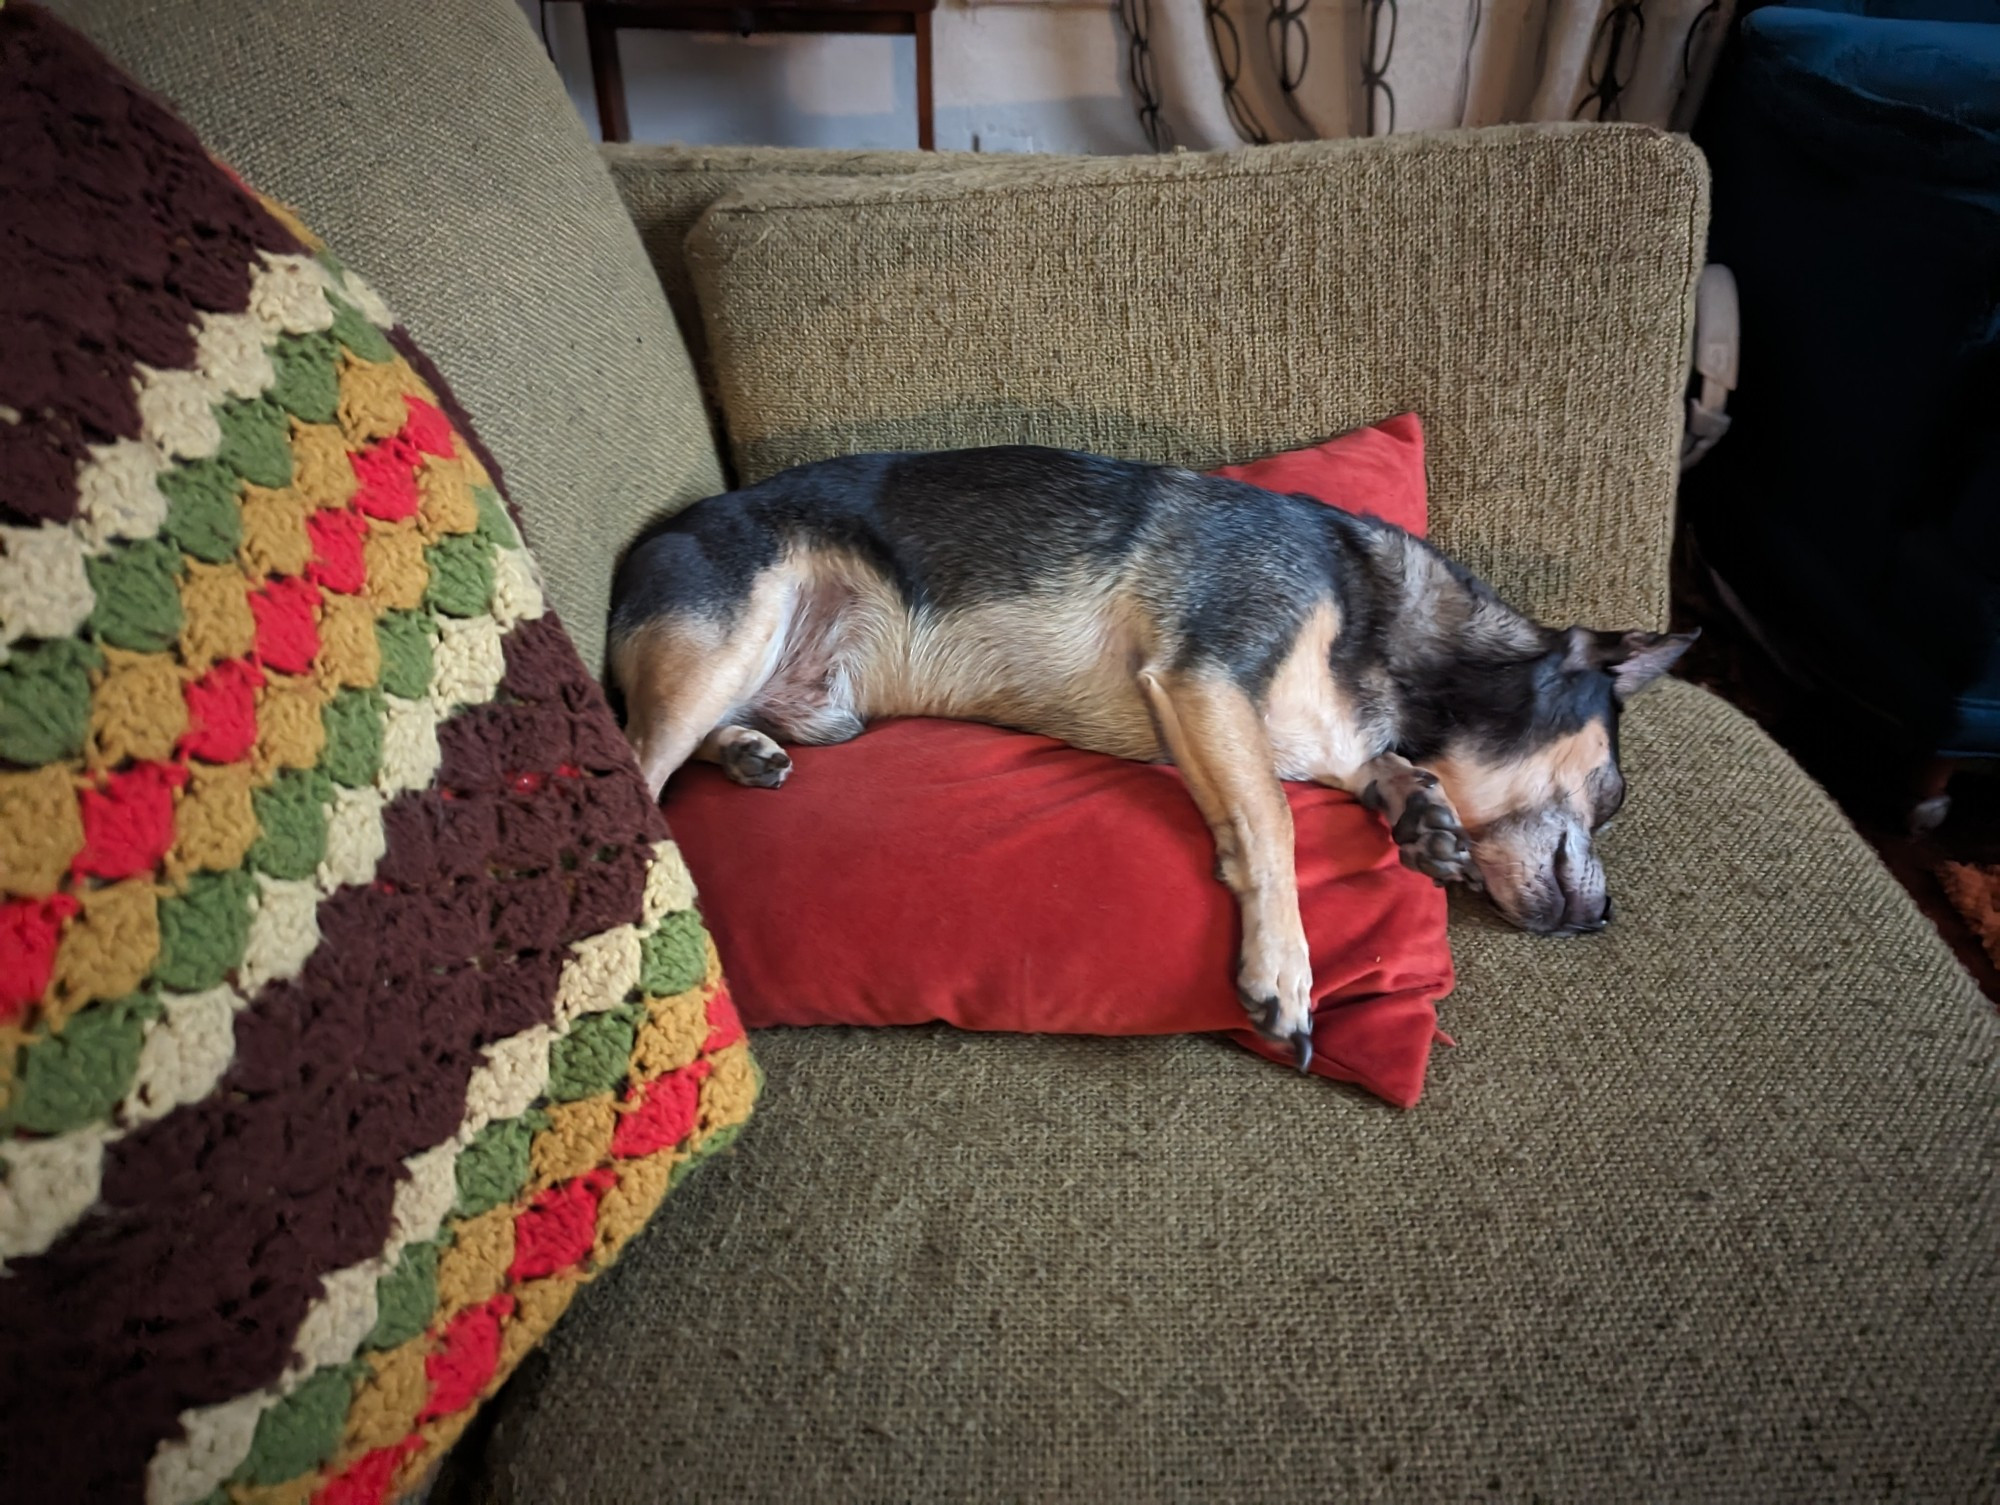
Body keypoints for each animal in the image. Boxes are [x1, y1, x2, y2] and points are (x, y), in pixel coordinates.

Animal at [604, 446, 1688, 1072]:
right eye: (1610, 792)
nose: (1604, 919)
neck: (1389, 636)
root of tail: (646, 545)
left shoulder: (1299, 726)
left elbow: (1369, 772)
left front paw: (1420, 811)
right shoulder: (1203, 680)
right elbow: (1270, 823)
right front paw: (1283, 975)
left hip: (817, 706)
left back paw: (747, 750)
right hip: (732, 631)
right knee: (637, 759)